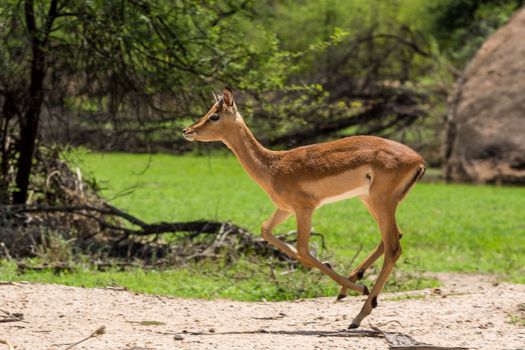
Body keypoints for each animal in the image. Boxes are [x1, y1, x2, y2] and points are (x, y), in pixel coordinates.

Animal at [182, 87, 424, 328]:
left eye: (215, 116)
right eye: (209, 111)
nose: (187, 130)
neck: (272, 166)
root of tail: (419, 160)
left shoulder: (304, 209)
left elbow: (303, 250)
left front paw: (357, 286)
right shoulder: (285, 209)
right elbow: (267, 232)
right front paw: (333, 268)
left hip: (381, 203)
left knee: (393, 247)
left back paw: (358, 313)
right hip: (371, 201)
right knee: (393, 237)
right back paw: (349, 289)